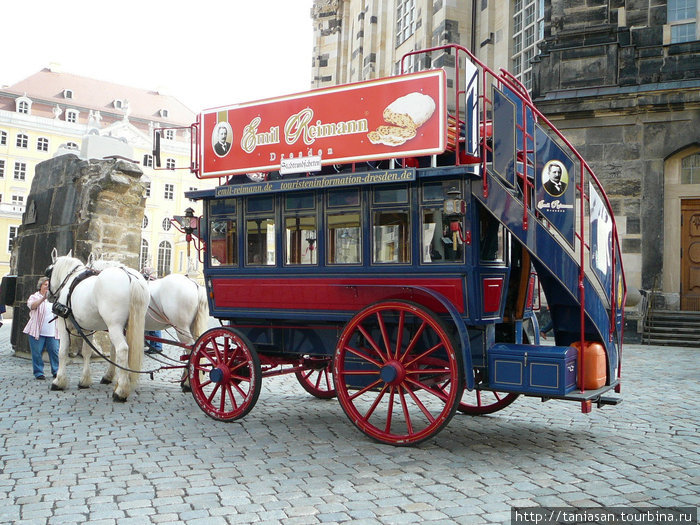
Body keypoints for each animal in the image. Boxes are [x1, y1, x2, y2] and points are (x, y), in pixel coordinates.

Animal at [47, 254, 150, 402]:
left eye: (48, 272)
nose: (48, 296)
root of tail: (130, 277)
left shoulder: (63, 323)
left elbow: (62, 351)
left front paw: (59, 381)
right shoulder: (87, 328)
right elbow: (86, 352)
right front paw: (84, 381)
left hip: (114, 326)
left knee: (122, 349)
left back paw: (121, 391)